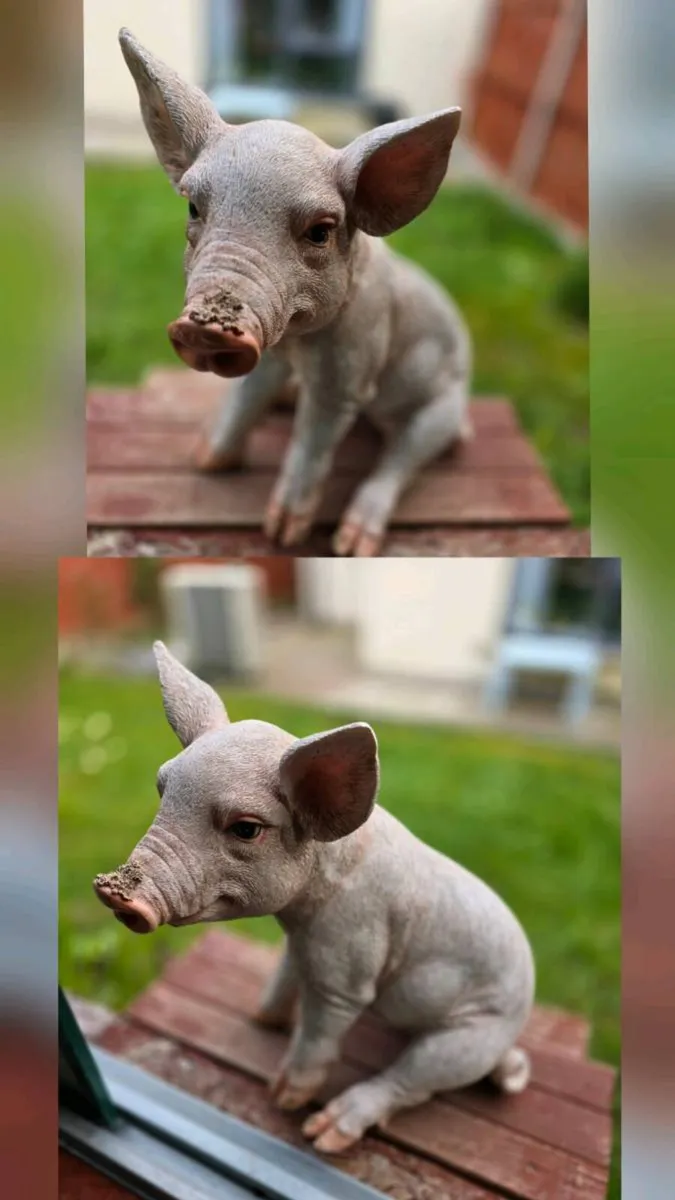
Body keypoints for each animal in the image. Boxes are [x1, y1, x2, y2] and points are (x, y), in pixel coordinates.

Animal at [94, 642, 535, 1155]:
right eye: (161, 787)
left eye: (246, 829)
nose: (113, 893)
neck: (300, 913)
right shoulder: (298, 942)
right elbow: (286, 974)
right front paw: (262, 1018)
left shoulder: (347, 962)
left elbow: (321, 1028)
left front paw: (283, 1098)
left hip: (475, 1032)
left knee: (415, 1078)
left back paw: (325, 1135)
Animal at [118, 29, 472, 557]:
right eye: (194, 208)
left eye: (321, 232)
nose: (205, 329)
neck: (297, 345)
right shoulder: (268, 354)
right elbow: (246, 396)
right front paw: (204, 461)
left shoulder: (348, 371)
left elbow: (312, 443)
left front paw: (282, 535)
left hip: (441, 408)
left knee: (403, 458)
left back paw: (353, 542)